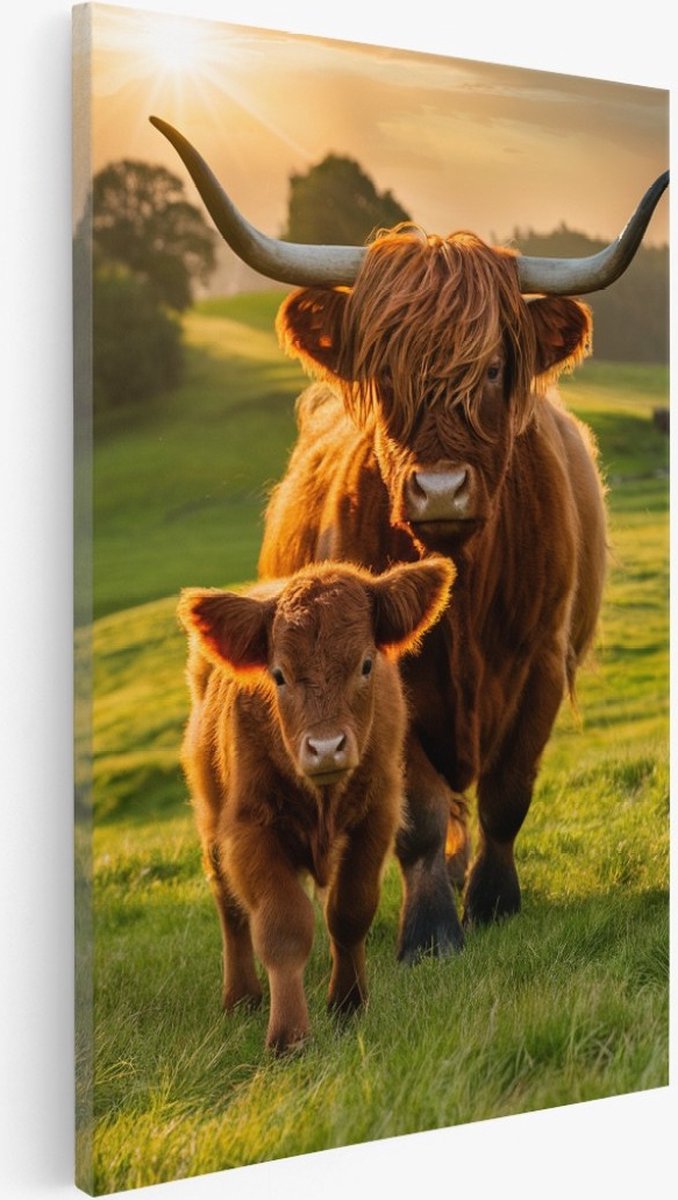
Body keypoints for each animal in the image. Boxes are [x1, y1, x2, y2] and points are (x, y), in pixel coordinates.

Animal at [153, 116, 668, 963]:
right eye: (385, 372)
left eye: (493, 368)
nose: (440, 489)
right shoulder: (383, 679)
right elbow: (419, 813)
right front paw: (429, 928)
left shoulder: (542, 658)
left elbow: (508, 792)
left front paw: (493, 899)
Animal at [178, 558, 454, 1051]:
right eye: (279, 674)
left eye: (366, 664)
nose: (326, 749)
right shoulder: (249, 830)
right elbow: (282, 927)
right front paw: (288, 1034)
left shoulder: (376, 818)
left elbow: (349, 911)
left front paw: (348, 1003)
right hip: (212, 823)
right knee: (230, 908)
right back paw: (241, 997)